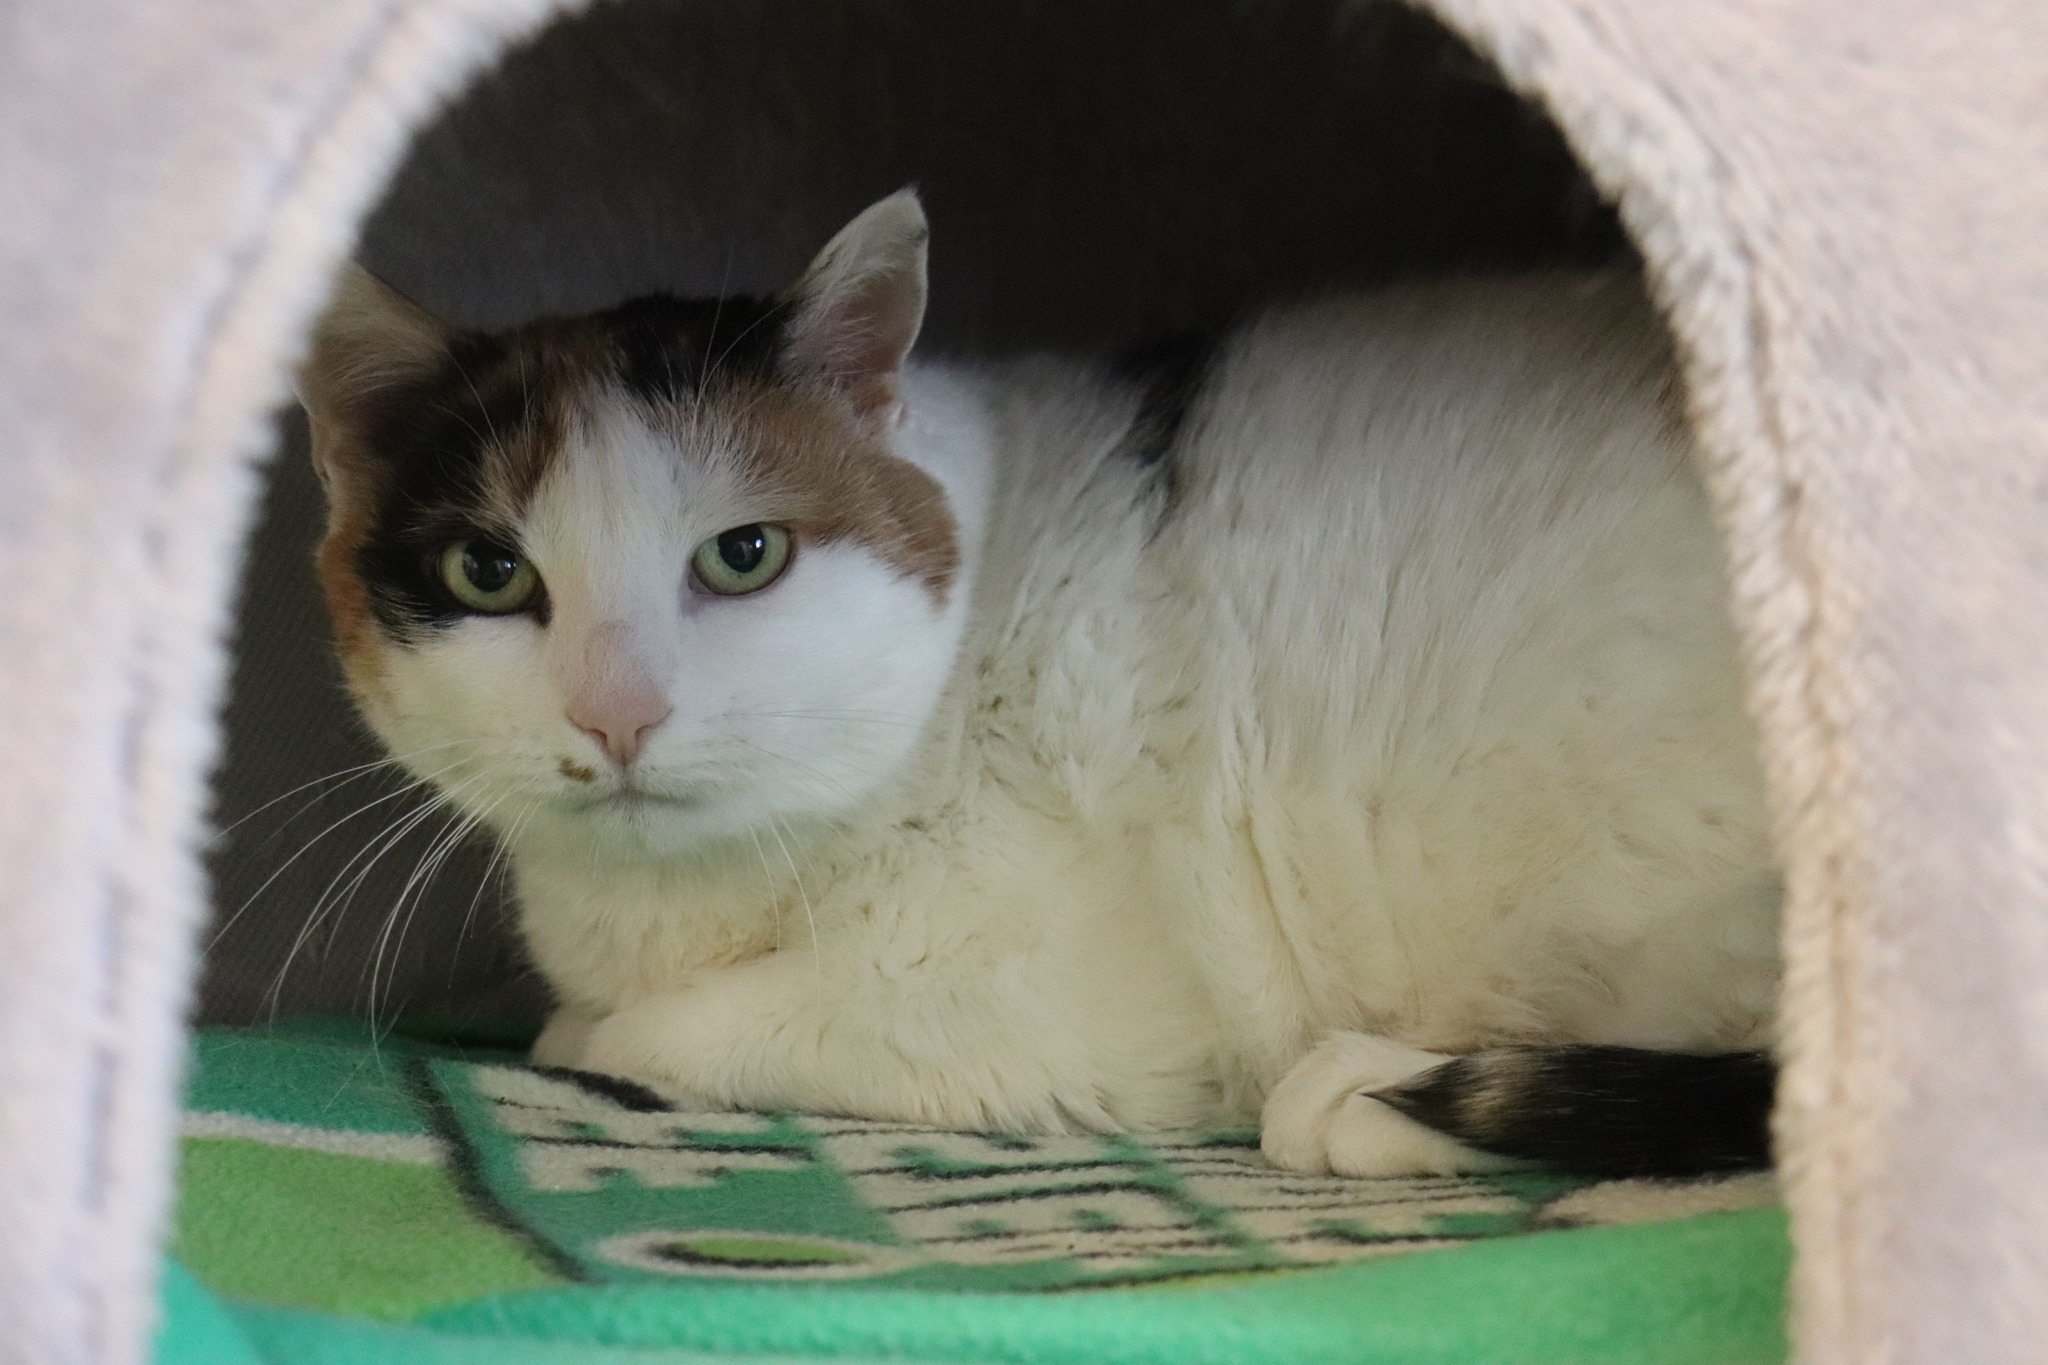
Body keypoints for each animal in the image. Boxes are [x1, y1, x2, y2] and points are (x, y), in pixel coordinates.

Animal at [298, 190, 1781, 1179]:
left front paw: (594, 1026)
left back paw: (1375, 1100)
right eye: (489, 572)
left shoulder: (1049, 1011)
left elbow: (625, 1033)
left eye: (743, 553)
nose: (615, 711)